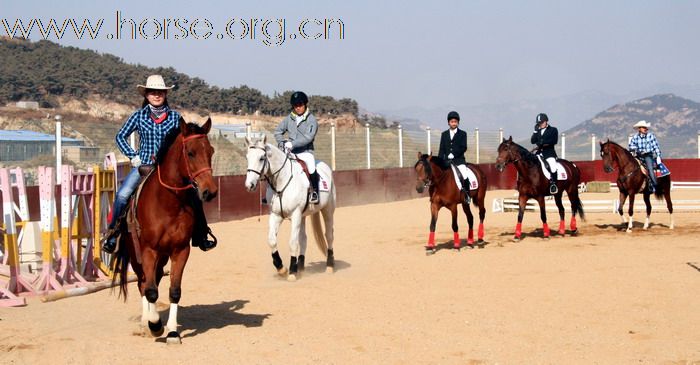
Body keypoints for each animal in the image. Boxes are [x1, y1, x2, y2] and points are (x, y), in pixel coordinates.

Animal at [110, 117, 216, 344]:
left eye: (211, 151)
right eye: (190, 152)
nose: (210, 192)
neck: (168, 203)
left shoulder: (181, 250)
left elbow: (174, 291)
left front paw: (173, 332)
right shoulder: (148, 250)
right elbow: (150, 291)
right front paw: (155, 325)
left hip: (163, 256)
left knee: (155, 280)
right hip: (137, 256)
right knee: (143, 283)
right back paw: (145, 323)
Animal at [243, 135, 336, 280]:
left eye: (262, 158)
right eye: (247, 157)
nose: (249, 185)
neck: (281, 181)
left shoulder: (295, 214)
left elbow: (292, 243)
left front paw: (291, 272)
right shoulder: (276, 215)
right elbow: (272, 241)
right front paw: (281, 268)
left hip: (327, 210)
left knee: (329, 235)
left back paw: (329, 266)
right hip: (303, 216)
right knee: (303, 238)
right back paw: (301, 267)